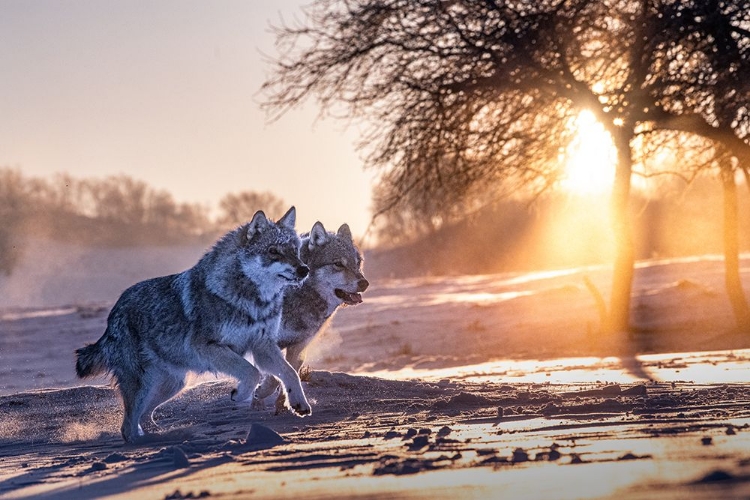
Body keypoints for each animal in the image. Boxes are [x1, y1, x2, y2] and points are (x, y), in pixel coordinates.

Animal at [75, 206, 312, 442]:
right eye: (273, 251)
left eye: (295, 250)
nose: (304, 270)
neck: (254, 301)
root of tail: (114, 313)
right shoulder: (207, 347)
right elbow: (252, 372)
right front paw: (239, 394)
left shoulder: (263, 347)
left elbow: (290, 372)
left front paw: (299, 403)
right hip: (143, 386)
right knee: (128, 428)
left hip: (174, 385)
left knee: (144, 418)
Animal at [254, 221, 368, 408]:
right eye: (338, 264)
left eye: (358, 263)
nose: (365, 283)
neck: (298, 293)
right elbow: (277, 372)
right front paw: (263, 392)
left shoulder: (299, 345)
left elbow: (288, 372)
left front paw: (285, 402)